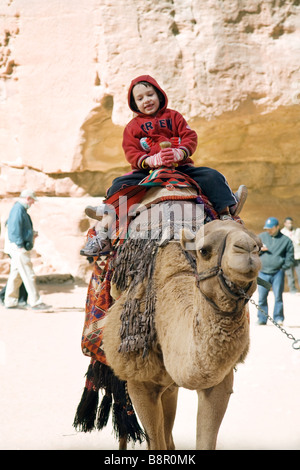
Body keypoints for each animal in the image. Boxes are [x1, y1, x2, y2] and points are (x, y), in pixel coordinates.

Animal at [101, 208, 260, 448]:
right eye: (204, 250)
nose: (247, 249)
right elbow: (155, 442)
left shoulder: (219, 382)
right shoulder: (139, 382)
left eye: (259, 245)